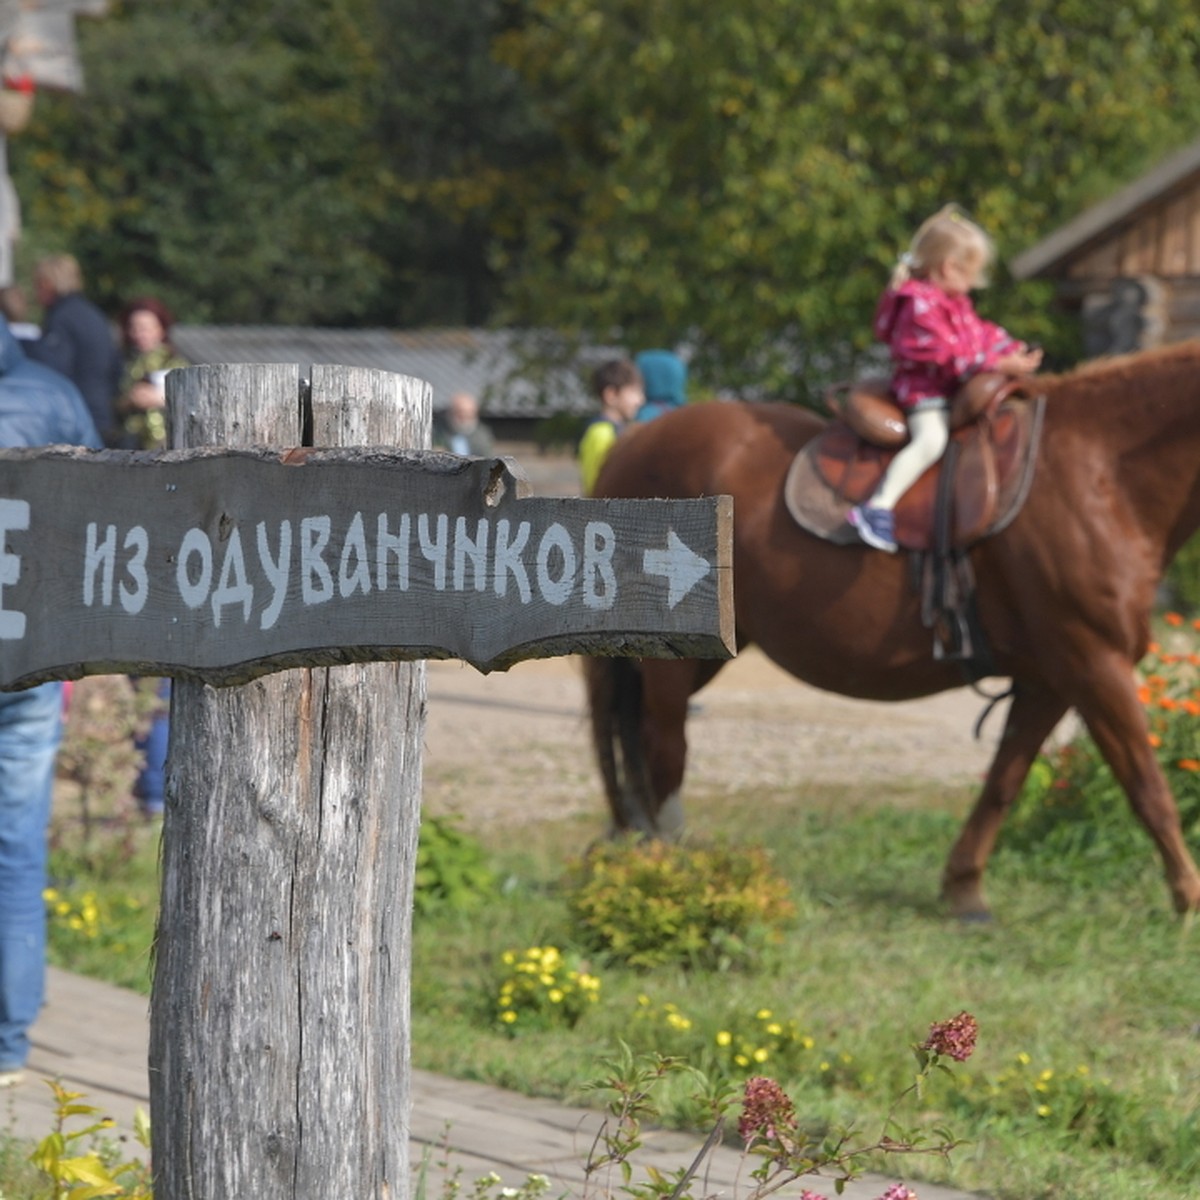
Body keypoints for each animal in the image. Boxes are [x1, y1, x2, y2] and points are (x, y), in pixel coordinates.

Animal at [585, 338, 1200, 916]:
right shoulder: (1094, 666)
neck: (1098, 474)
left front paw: (964, 889)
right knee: (663, 746)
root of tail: (631, 443)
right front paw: (1187, 902)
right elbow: (1149, 787)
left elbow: (1004, 781)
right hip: (674, 661)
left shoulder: (1048, 680)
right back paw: (668, 864)